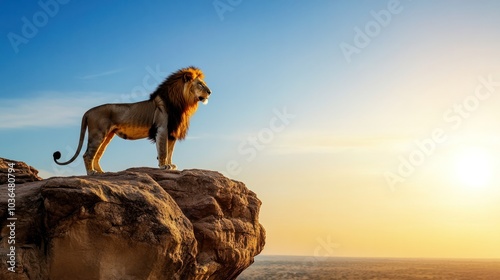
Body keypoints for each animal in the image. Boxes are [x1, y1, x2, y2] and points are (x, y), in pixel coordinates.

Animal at [52, 66, 211, 174]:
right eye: (200, 84)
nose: (210, 92)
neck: (182, 104)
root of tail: (88, 111)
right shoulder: (162, 128)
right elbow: (163, 150)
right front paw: (163, 166)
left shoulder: (172, 132)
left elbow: (170, 151)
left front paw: (171, 166)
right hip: (97, 134)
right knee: (87, 154)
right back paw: (91, 173)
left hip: (107, 136)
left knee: (97, 154)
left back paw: (102, 173)